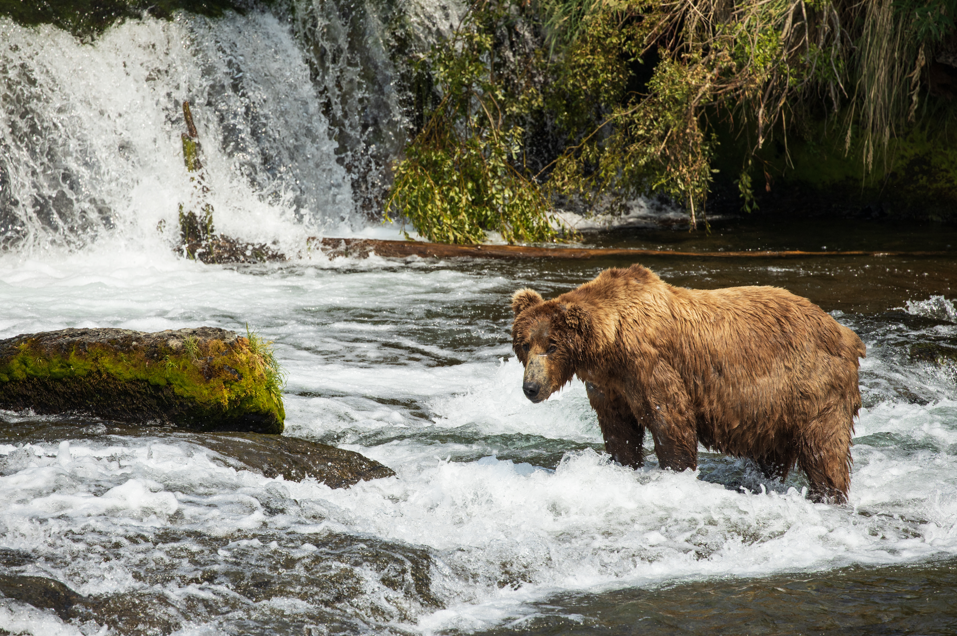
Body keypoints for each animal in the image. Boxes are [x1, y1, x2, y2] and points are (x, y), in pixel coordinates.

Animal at [510, 263, 866, 504]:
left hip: (812, 386)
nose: (531, 388)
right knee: (773, 456)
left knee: (824, 448)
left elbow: (671, 422)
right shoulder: (610, 387)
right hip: (772, 413)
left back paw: (828, 494)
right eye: (525, 344)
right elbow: (619, 432)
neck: (609, 347)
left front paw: (676, 475)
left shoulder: (650, 367)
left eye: (552, 345)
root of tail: (846, 333)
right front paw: (623, 466)